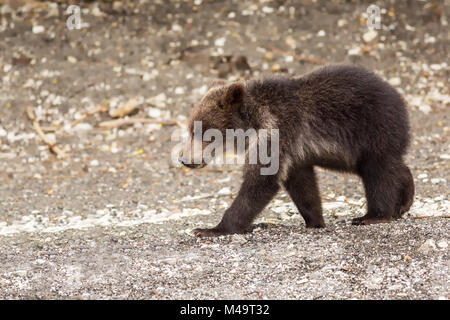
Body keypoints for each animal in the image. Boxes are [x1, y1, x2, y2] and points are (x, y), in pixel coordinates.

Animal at [178, 63, 414, 236]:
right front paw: (314, 221)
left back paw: (372, 216)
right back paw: (403, 201)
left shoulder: (277, 132)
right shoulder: (294, 154)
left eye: (205, 132)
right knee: (387, 166)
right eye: (190, 129)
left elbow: (260, 182)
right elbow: (302, 185)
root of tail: (399, 97)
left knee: (378, 172)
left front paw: (211, 229)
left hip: (372, 128)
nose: (185, 159)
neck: (252, 125)